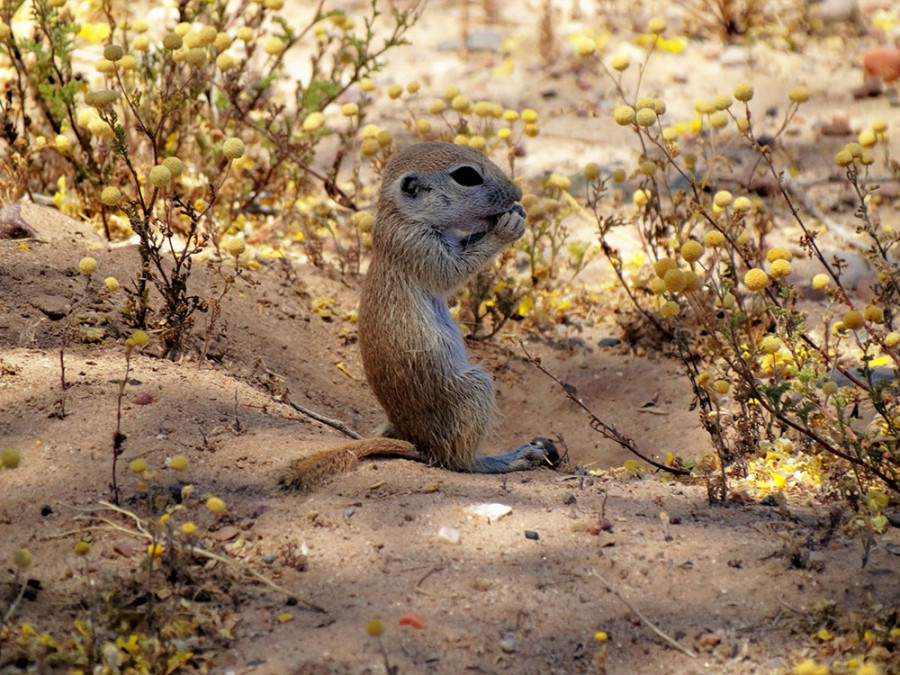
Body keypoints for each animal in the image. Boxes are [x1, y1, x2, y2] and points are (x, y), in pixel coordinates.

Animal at [282, 144, 560, 492]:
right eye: (466, 176)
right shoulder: (419, 247)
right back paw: (511, 458)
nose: (518, 193)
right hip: (475, 389)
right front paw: (508, 226)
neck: (402, 217)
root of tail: (423, 448)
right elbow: (453, 272)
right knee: (460, 462)